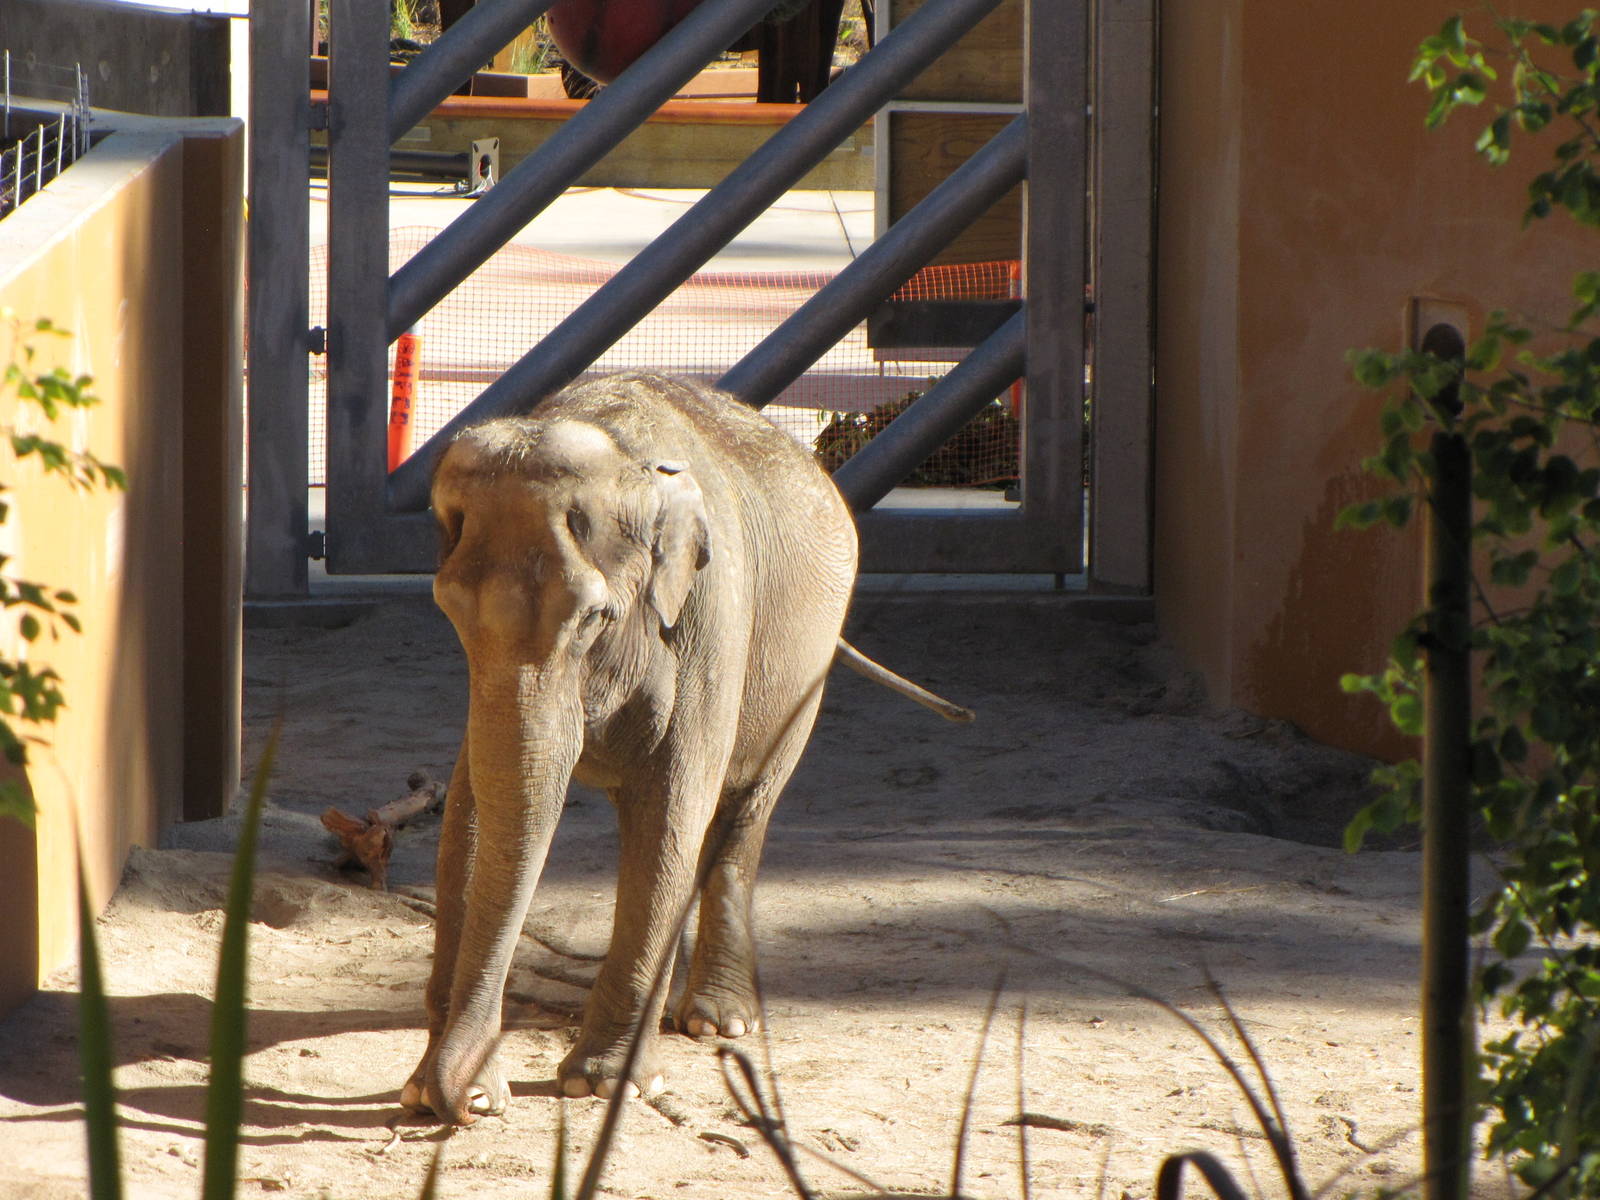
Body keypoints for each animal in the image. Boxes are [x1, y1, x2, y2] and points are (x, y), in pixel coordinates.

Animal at [401, 371, 970, 1123]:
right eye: (448, 611)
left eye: (595, 618)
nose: (464, 1104)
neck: (616, 448)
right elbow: (474, 807)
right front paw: (426, 1087)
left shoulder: (712, 618)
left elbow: (674, 809)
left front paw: (600, 1085)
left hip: (805, 672)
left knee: (738, 814)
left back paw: (716, 1021)